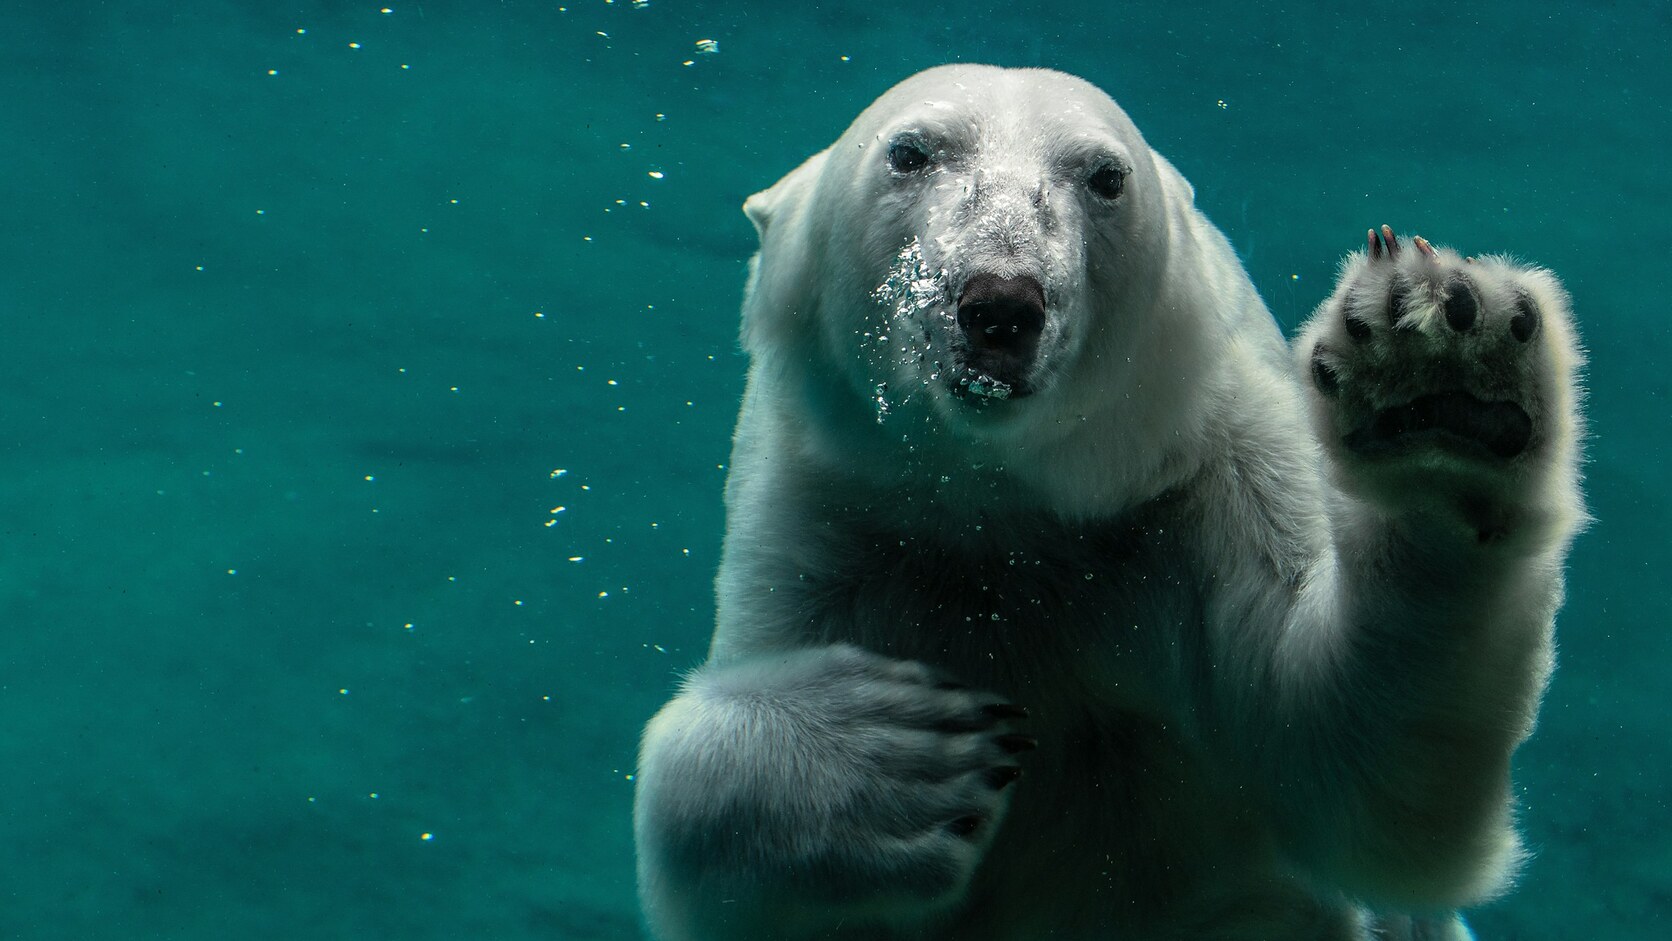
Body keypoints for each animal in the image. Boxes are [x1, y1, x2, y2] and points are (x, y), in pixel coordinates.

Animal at [633, 64, 1584, 941]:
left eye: (1104, 175)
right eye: (910, 153)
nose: (1001, 302)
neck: (1007, 506)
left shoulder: (1206, 475)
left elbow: (1350, 766)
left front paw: (1440, 381)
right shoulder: (835, 512)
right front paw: (894, 756)